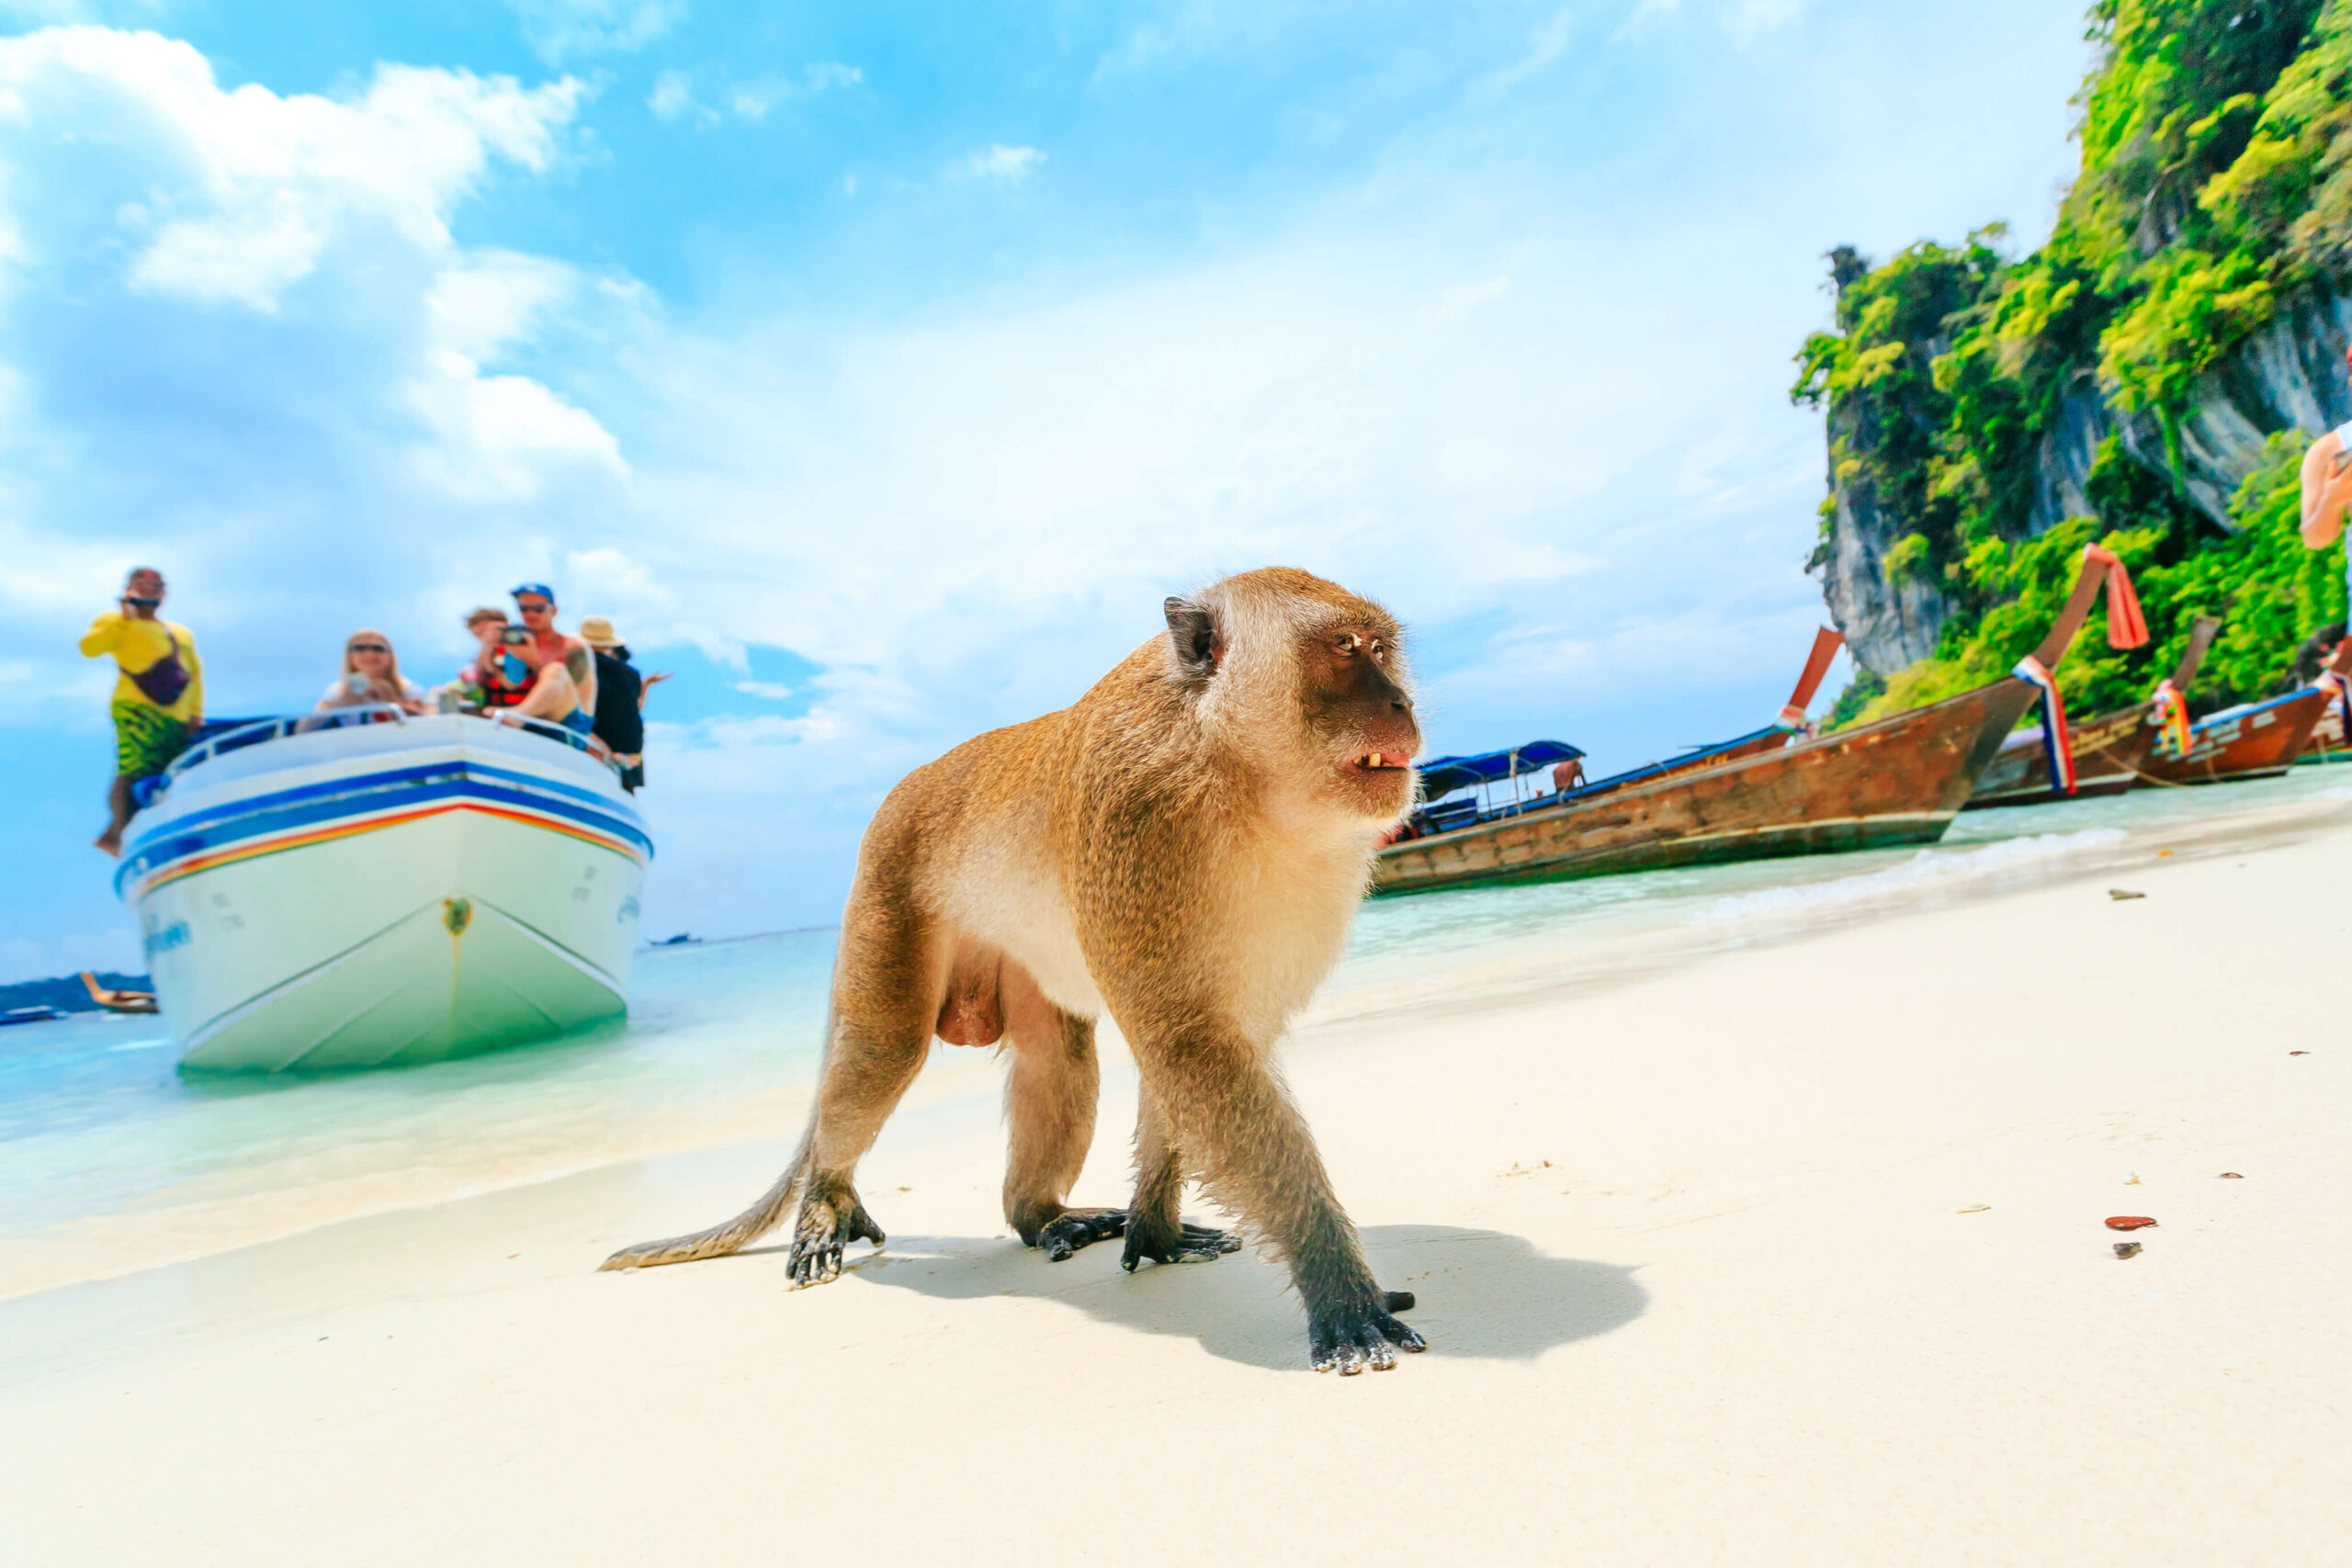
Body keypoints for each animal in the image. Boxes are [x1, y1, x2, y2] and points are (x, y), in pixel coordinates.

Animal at [602, 566, 1430, 1372]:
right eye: (1345, 648)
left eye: (1380, 649)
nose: (1402, 700)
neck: (1231, 762)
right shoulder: (1139, 818)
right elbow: (1188, 1045)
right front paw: (1339, 1287)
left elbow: (1194, 1053)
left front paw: (1157, 1231)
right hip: (886, 891)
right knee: (883, 1048)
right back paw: (826, 1201)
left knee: (1055, 1057)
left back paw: (1041, 1216)